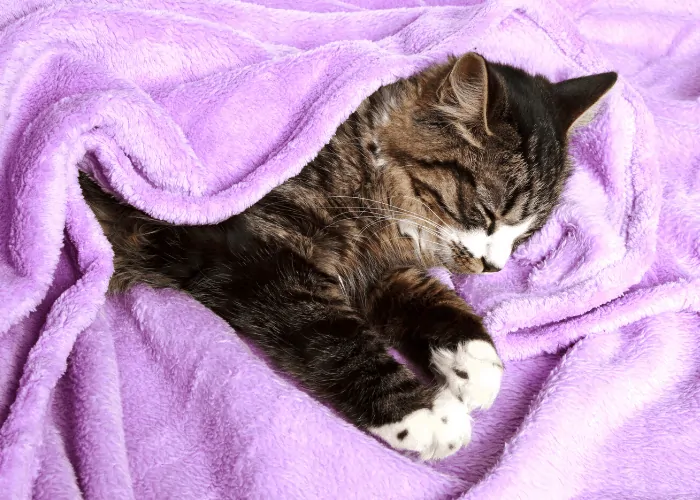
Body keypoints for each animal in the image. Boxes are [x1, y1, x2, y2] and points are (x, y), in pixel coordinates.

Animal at [79, 52, 616, 458]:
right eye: (487, 212)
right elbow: (334, 332)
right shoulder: (253, 247)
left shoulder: (382, 273)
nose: (494, 267)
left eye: (525, 235)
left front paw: (475, 357)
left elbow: (432, 298)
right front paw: (422, 412)